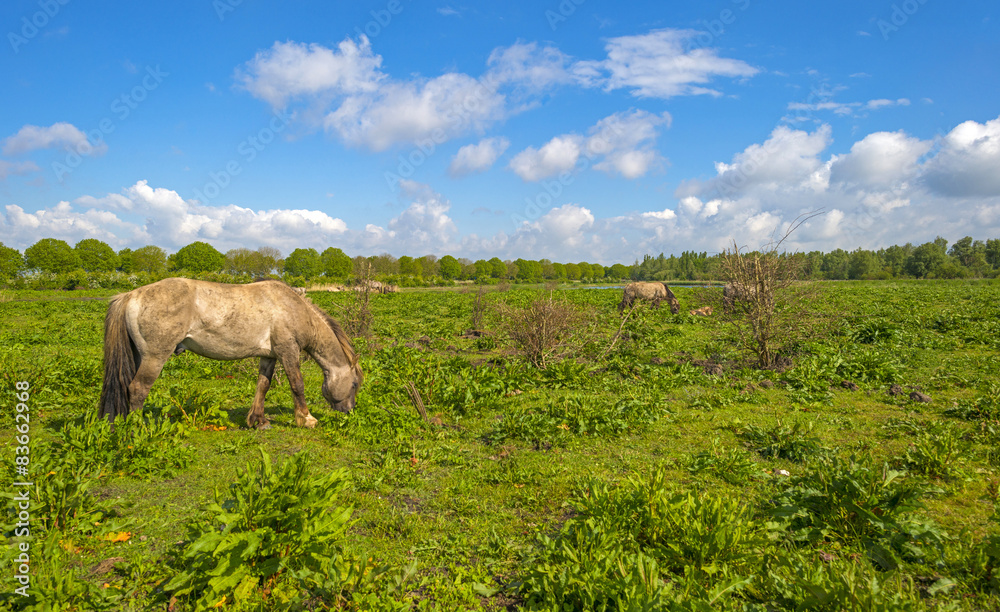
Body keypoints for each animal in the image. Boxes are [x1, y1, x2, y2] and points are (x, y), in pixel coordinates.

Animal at [98, 278, 362, 429]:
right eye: (355, 384)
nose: (350, 411)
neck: (292, 308)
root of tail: (130, 295)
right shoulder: (288, 351)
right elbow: (297, 385)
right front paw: (306, 419)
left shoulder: (269, 356)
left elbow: (262, 386)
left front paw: (258, 421)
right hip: (155, 357)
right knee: (138, 389)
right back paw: (138, 429)